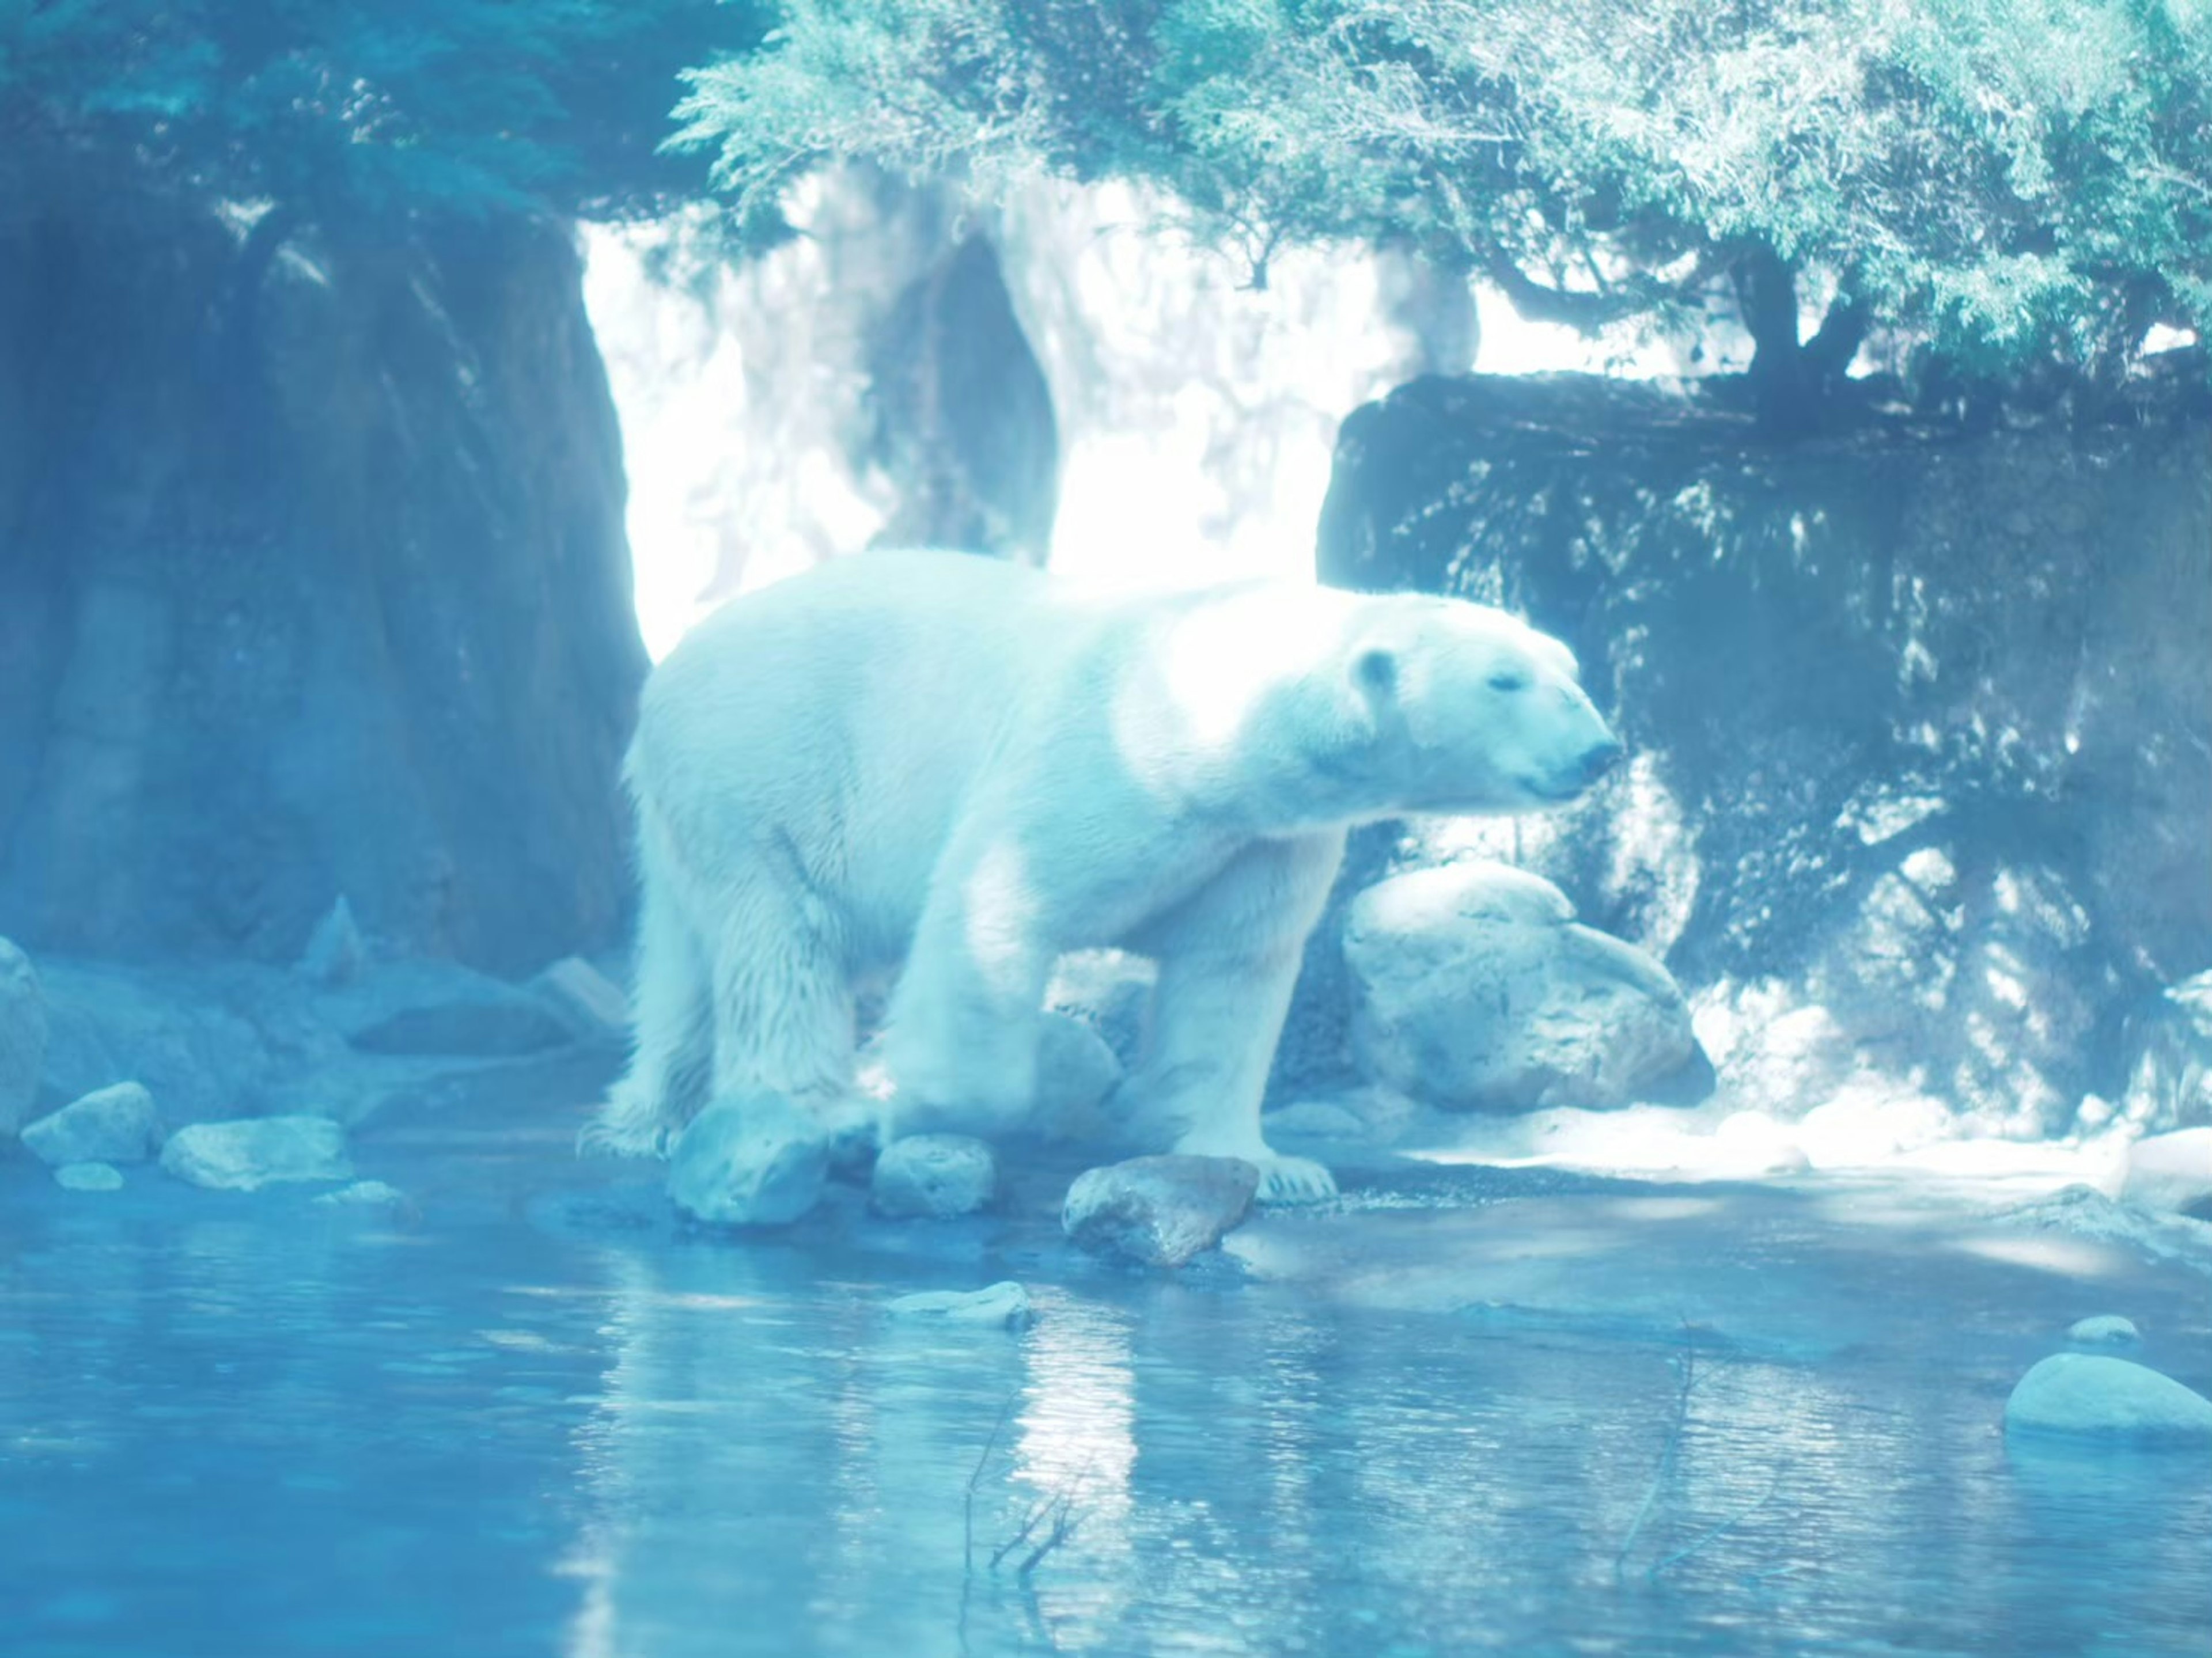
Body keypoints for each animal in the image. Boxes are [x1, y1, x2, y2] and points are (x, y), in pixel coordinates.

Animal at [588, 552, 1628, 1202]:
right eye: (1503, 680)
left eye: (1570, 671)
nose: (1601, 749)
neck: (1206, 713)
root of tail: (664, 675)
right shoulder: (1103, 765)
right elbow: (993, 905)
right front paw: (922, 1107)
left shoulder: (1259, 837)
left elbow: (1232, 975)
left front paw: (1274, 1165)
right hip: (770, 771)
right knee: (781, 942)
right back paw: (819, 1109)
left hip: (697, 812)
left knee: (686, 960)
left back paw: (644, 1118)